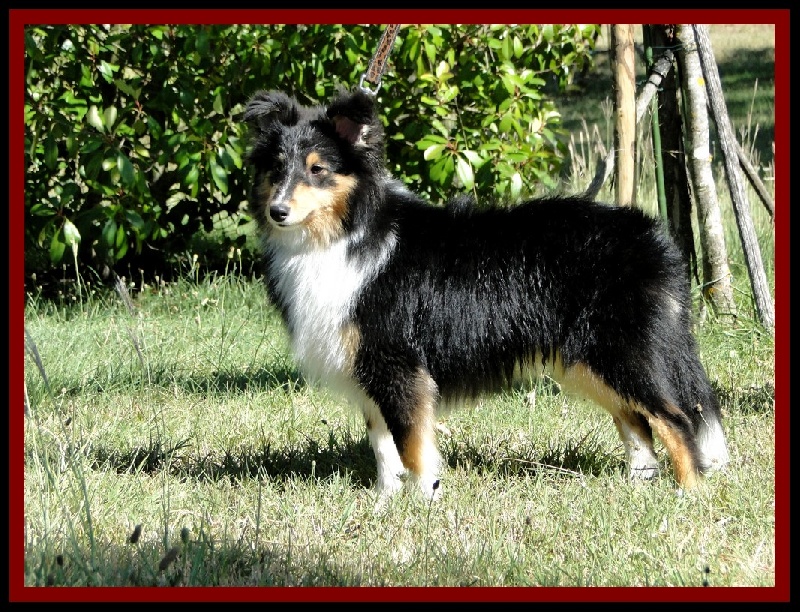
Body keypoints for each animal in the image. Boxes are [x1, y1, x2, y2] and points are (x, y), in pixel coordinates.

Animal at [242, 88, 730, 500]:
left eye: (317, 169)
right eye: (275, 169)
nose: (277, 211)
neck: (346, 234)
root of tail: (652, 236)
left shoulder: (398, 366)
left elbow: (411, 445)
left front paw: (424, 501)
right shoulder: (369, 369)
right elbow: (384, 447)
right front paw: (384, 502)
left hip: (622, 350)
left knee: (675, 418)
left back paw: (689, 493)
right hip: (586, 359)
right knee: (637, 421)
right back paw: (638, 486)